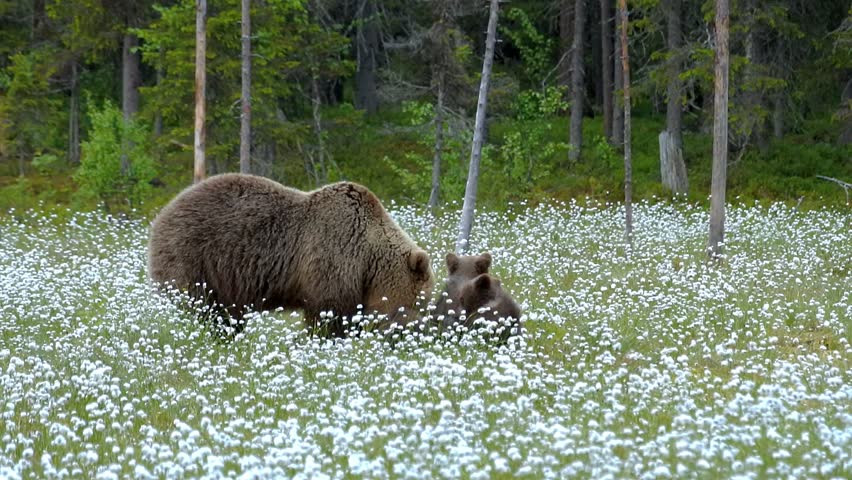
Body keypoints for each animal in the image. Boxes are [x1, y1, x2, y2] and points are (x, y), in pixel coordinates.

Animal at [147, 173, 433, 336]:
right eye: (421, 303)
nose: (419, 331)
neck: (368, 258)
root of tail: (162, 213)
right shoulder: (333, 256)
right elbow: (329, 313)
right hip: (196, 256)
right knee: (206, 305)